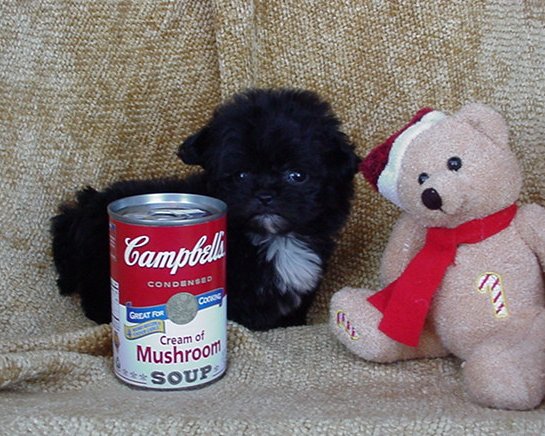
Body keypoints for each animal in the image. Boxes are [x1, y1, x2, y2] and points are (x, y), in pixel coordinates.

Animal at [50, 90, 356, 332]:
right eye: (241, 175)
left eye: (297, 175)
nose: (265, 195)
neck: (273, 239)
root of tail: (83, 208)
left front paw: (292, 323)